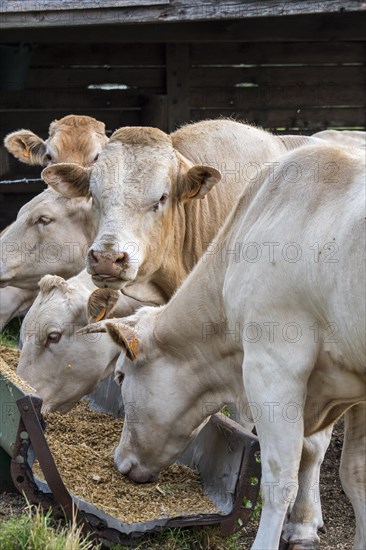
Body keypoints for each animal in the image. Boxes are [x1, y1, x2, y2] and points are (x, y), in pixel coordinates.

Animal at [83, 144, 366, 550]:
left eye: (120, 376)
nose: (120, 461)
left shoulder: (273, 365)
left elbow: (279, 478)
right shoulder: (350, 387)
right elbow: (354, 474)